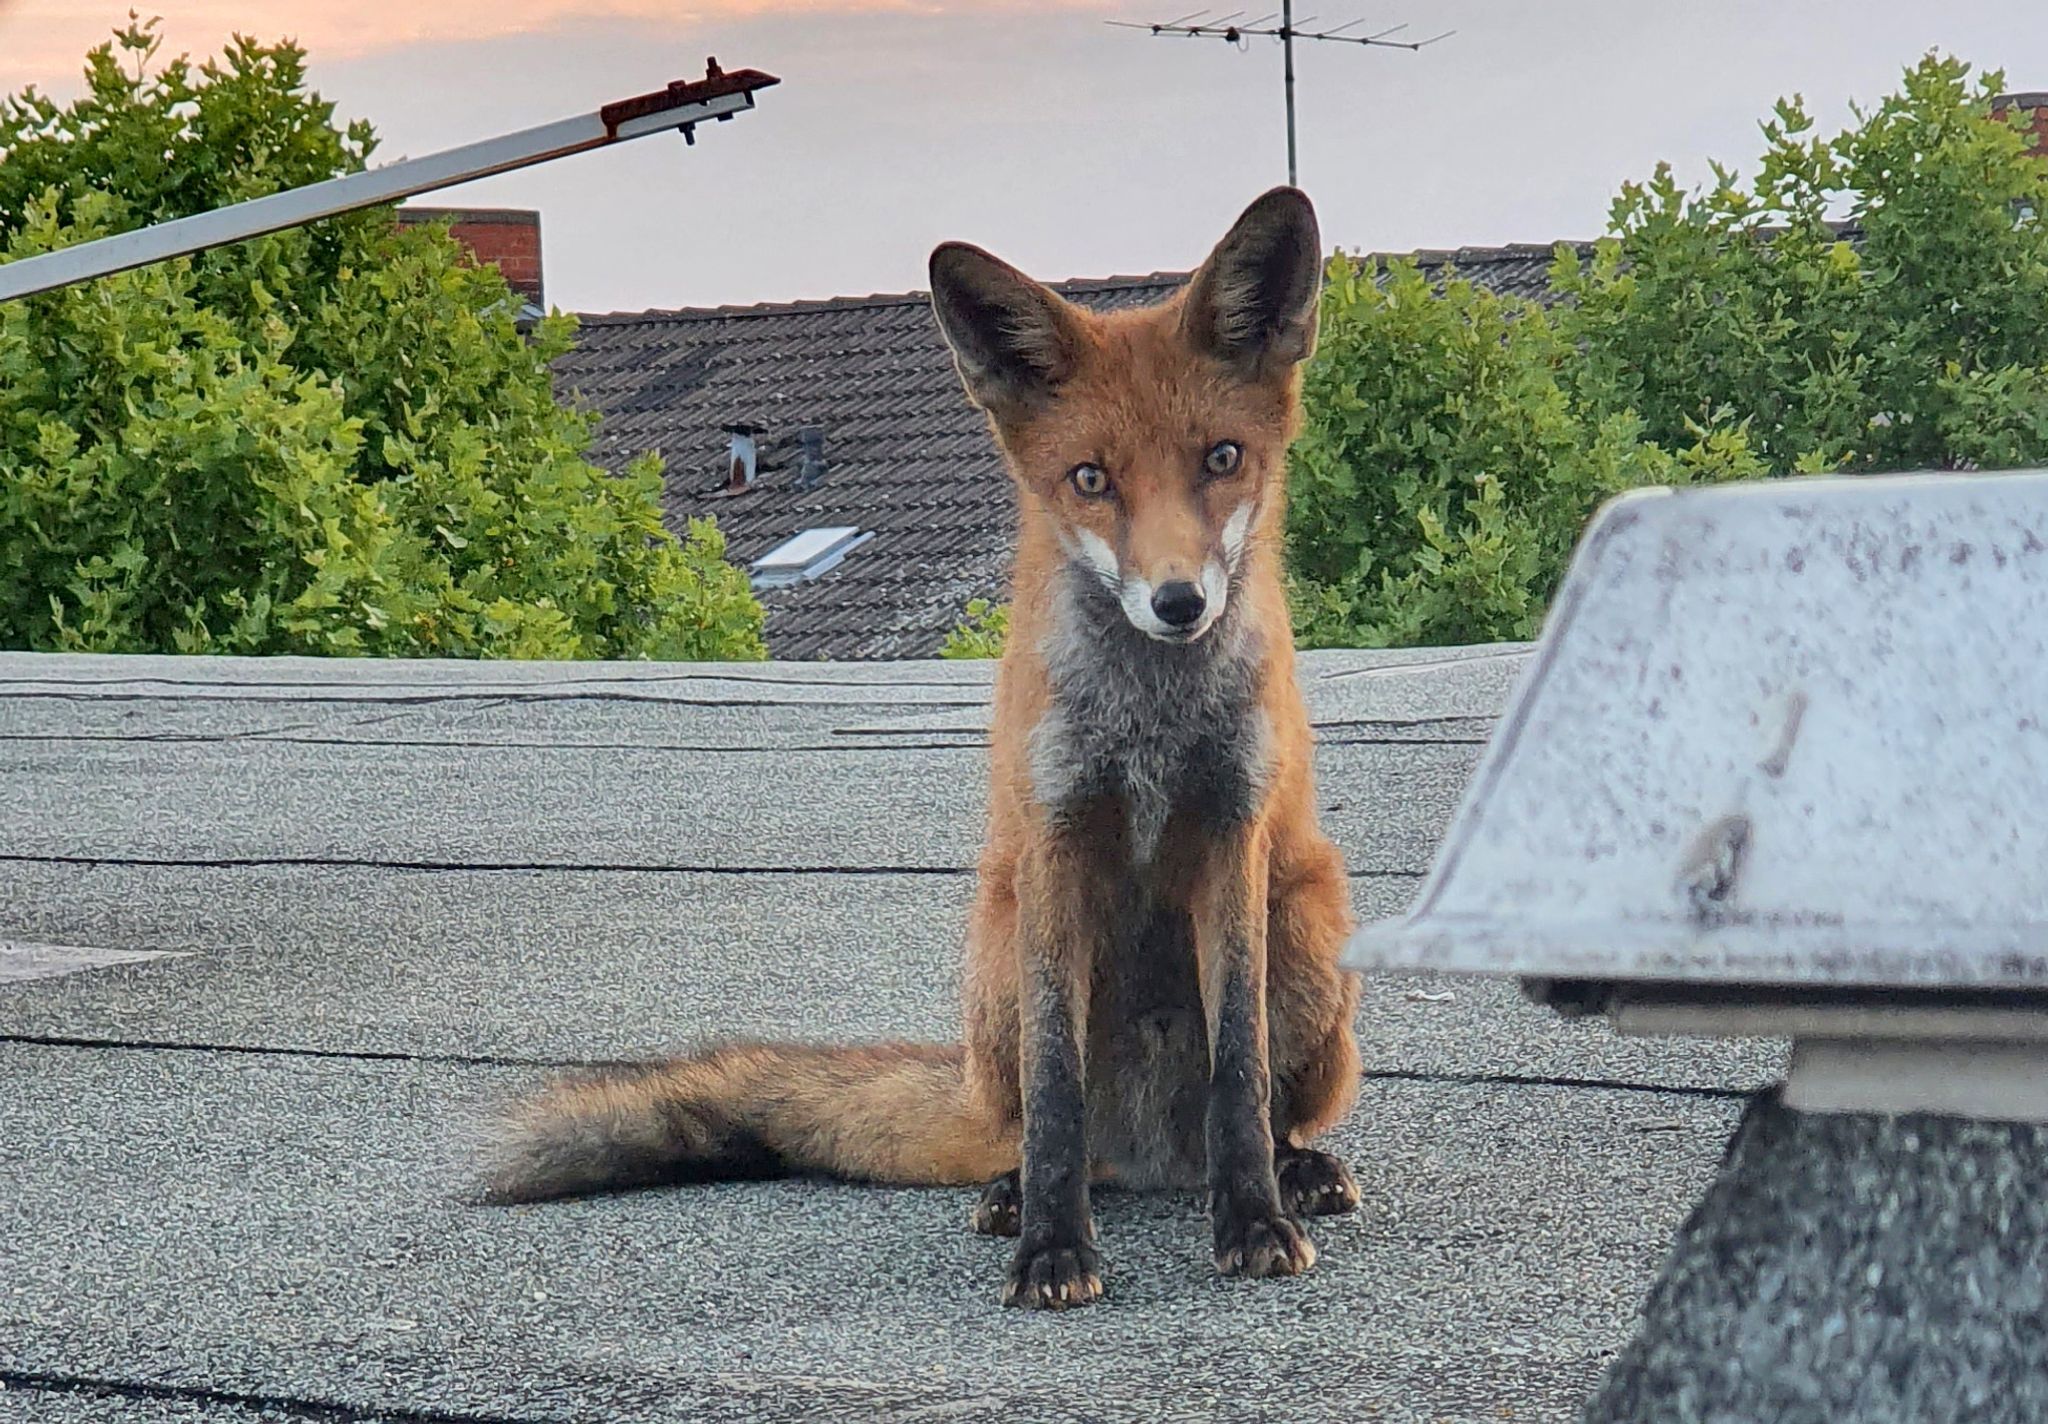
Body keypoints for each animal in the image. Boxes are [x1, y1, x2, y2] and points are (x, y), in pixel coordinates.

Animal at [483, 187, 1364, 1310]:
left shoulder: (1232, 831)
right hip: (996, 952)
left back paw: (1298, 1170)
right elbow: (1056, 1089)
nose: (1177, 603)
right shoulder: (1054, 839)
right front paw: (1052, 1246)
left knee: (1263, 1106)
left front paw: (1252, 1219)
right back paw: (1012, 1192)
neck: (1152, 723)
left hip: (1308, 922)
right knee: (1035, 1125)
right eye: (1089, 478)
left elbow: (1238, 1071)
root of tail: (1152, 1159)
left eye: (1222, 459)